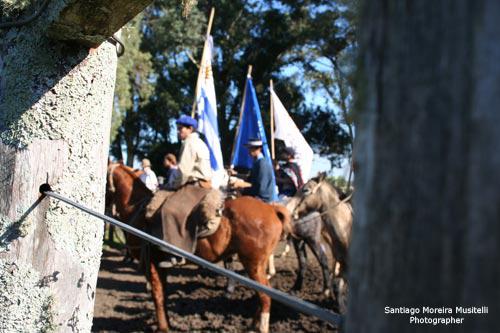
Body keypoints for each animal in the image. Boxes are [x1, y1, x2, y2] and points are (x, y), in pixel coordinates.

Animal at [107, 162, 292, 330]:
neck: (136, 207)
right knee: (262, 297)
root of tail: (272, 209)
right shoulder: (160, 264)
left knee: (265, 297)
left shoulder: (152, 262)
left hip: (253, 264)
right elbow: (163, 294)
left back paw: (261, 327)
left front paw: (163, 327)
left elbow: (157, 295)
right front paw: (167, 324)